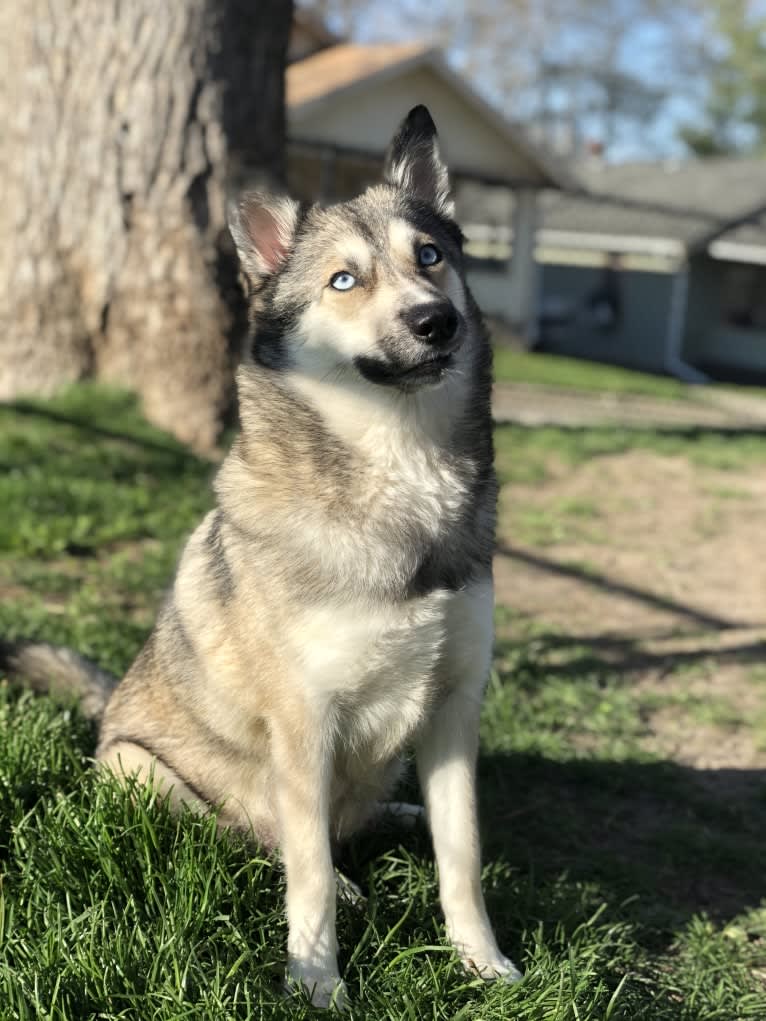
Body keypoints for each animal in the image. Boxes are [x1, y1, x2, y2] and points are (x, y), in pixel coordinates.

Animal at [1, 101, 522, 1004]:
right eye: (344, 280)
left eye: (430, 256)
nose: (436, 320)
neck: (401, 472)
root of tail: (104, 710)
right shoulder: (305, 722)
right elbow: (307, 872)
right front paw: (317, 982)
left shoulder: (456, 706)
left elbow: (461, 855)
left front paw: (481, 960)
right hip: (142, 769)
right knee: (256, 834)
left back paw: (398, 815)